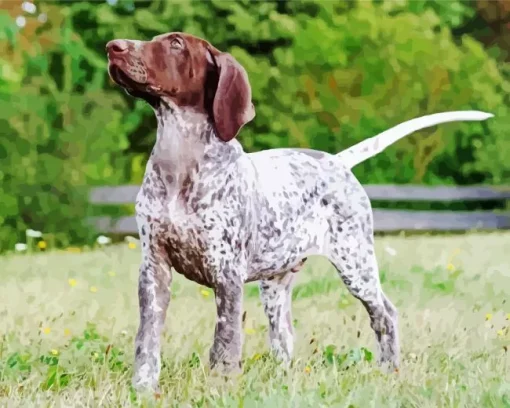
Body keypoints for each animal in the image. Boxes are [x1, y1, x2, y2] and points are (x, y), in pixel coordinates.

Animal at [105, 31, 492, 388]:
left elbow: (225, 342)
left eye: (175, 44)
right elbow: (147, 340)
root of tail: (336, 161)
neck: (180, 162)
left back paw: (389, 370)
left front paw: (221, 385)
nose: (113, 46)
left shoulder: (226, 274)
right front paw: (143, 388)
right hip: (275, 286)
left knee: (385, 314)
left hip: (356, 264)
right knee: (285, 337)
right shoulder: (154, 269)